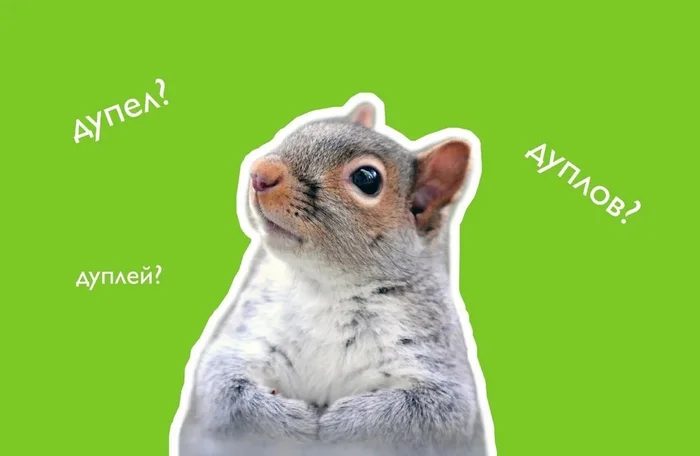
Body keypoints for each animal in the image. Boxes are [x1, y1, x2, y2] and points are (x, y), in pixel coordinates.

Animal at [175, 95, 491, 456]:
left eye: (367, 178)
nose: (259, 172)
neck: (326, 287)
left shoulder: (437, 367)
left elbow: (428, 414)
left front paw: (340, 425)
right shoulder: (248, 336)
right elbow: (222, 389)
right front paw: (293, 420)